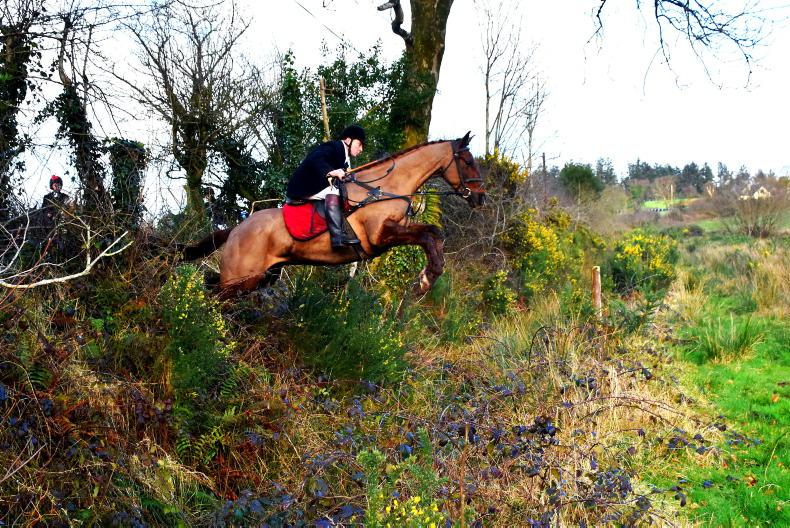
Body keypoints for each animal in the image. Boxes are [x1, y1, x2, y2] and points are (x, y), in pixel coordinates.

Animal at [182, 132, 485, 298]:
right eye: (468, 161)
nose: (481, 197)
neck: (385, 187)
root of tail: (235, 229)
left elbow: (433, 234)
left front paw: (428, 275)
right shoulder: (380, 235)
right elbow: (428, 234)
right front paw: (426, 279)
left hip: (262, 276)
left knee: (212, 285)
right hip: (242, 276)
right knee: (216, 295)